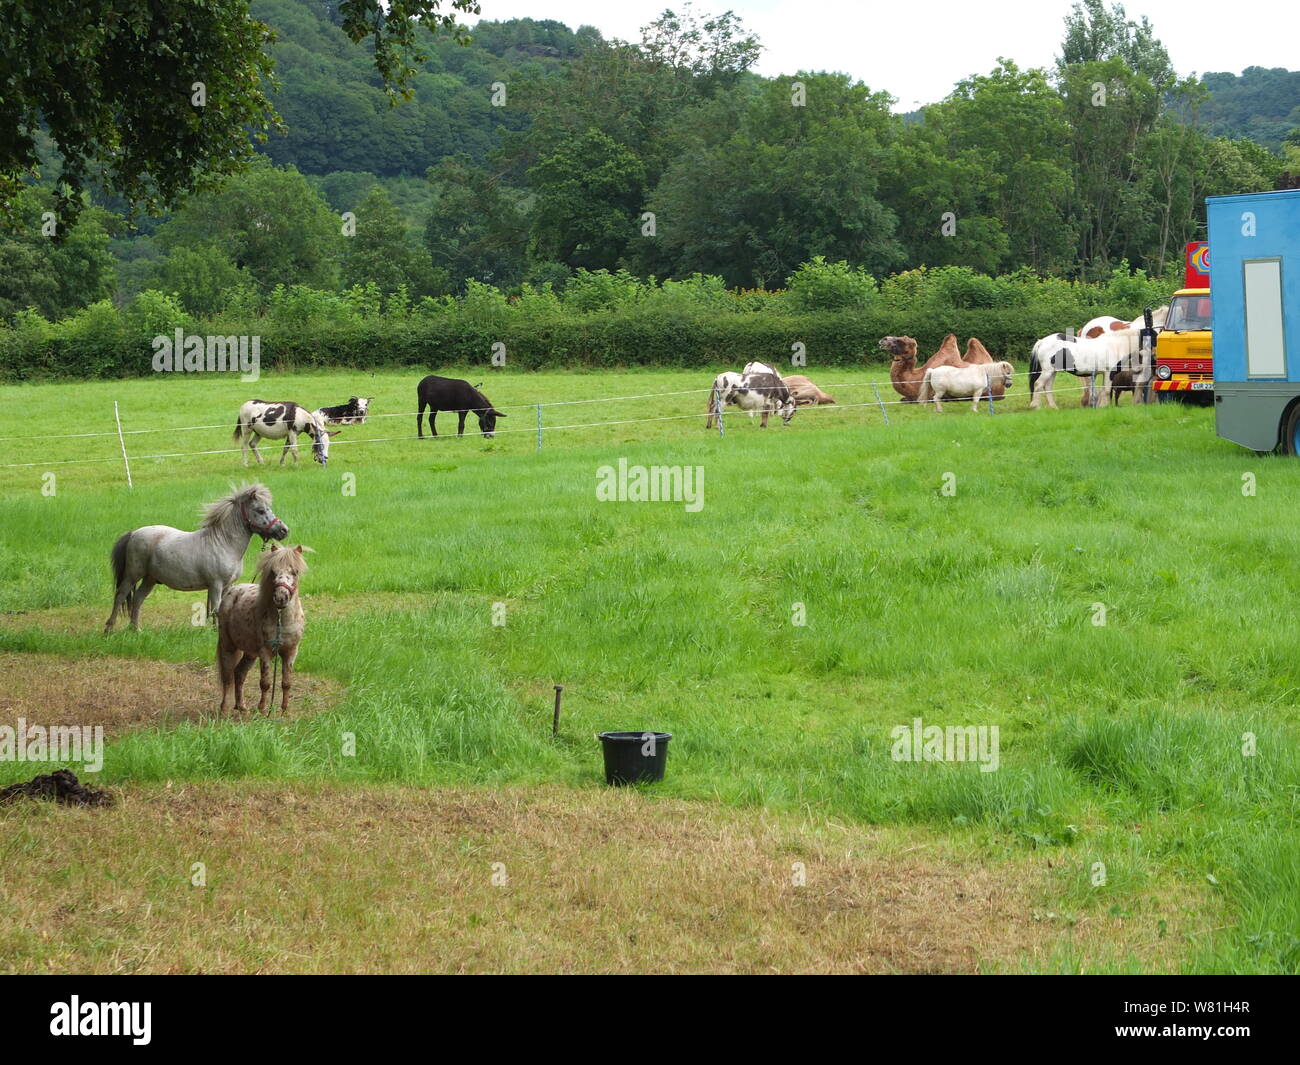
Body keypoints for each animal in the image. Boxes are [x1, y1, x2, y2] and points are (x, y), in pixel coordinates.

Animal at [105, 486, 289, 631]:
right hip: (132, 575)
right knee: (120, 596)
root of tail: (133, 533)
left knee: (137, 599)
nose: (283, 531)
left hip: (150, 579)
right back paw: (109, 629)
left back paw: (135, 629)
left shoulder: (227, 585)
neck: (224, 543)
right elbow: (216, 609)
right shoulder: (216, 585)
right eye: (260, 510)